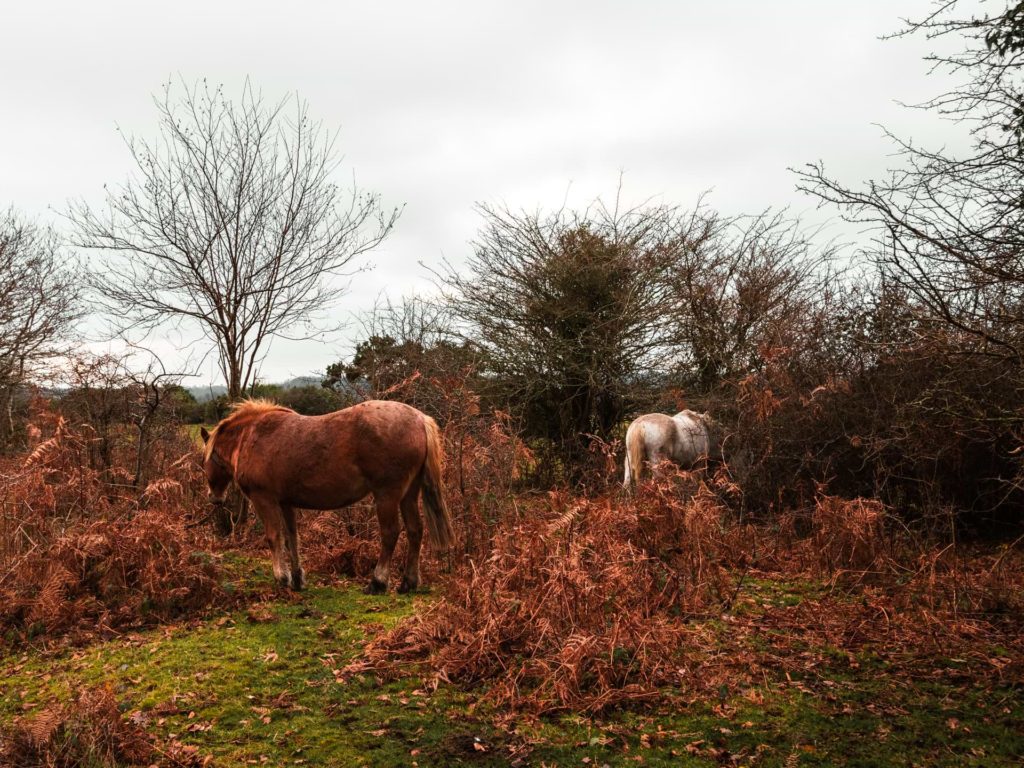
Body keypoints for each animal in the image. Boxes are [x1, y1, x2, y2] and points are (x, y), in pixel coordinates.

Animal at [199, 399, 452, 598]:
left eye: (204, 461)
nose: (213, 497)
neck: (251, 436)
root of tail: (419, 419)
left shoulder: (265, 500)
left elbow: (274, 537)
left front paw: (281, 578)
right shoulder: (286, 503)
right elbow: (292, 538)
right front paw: (297, 578)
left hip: (387, 495)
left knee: (390, 533)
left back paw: (378, 582)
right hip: (408, 495)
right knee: (415, 530)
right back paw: (408, 582)